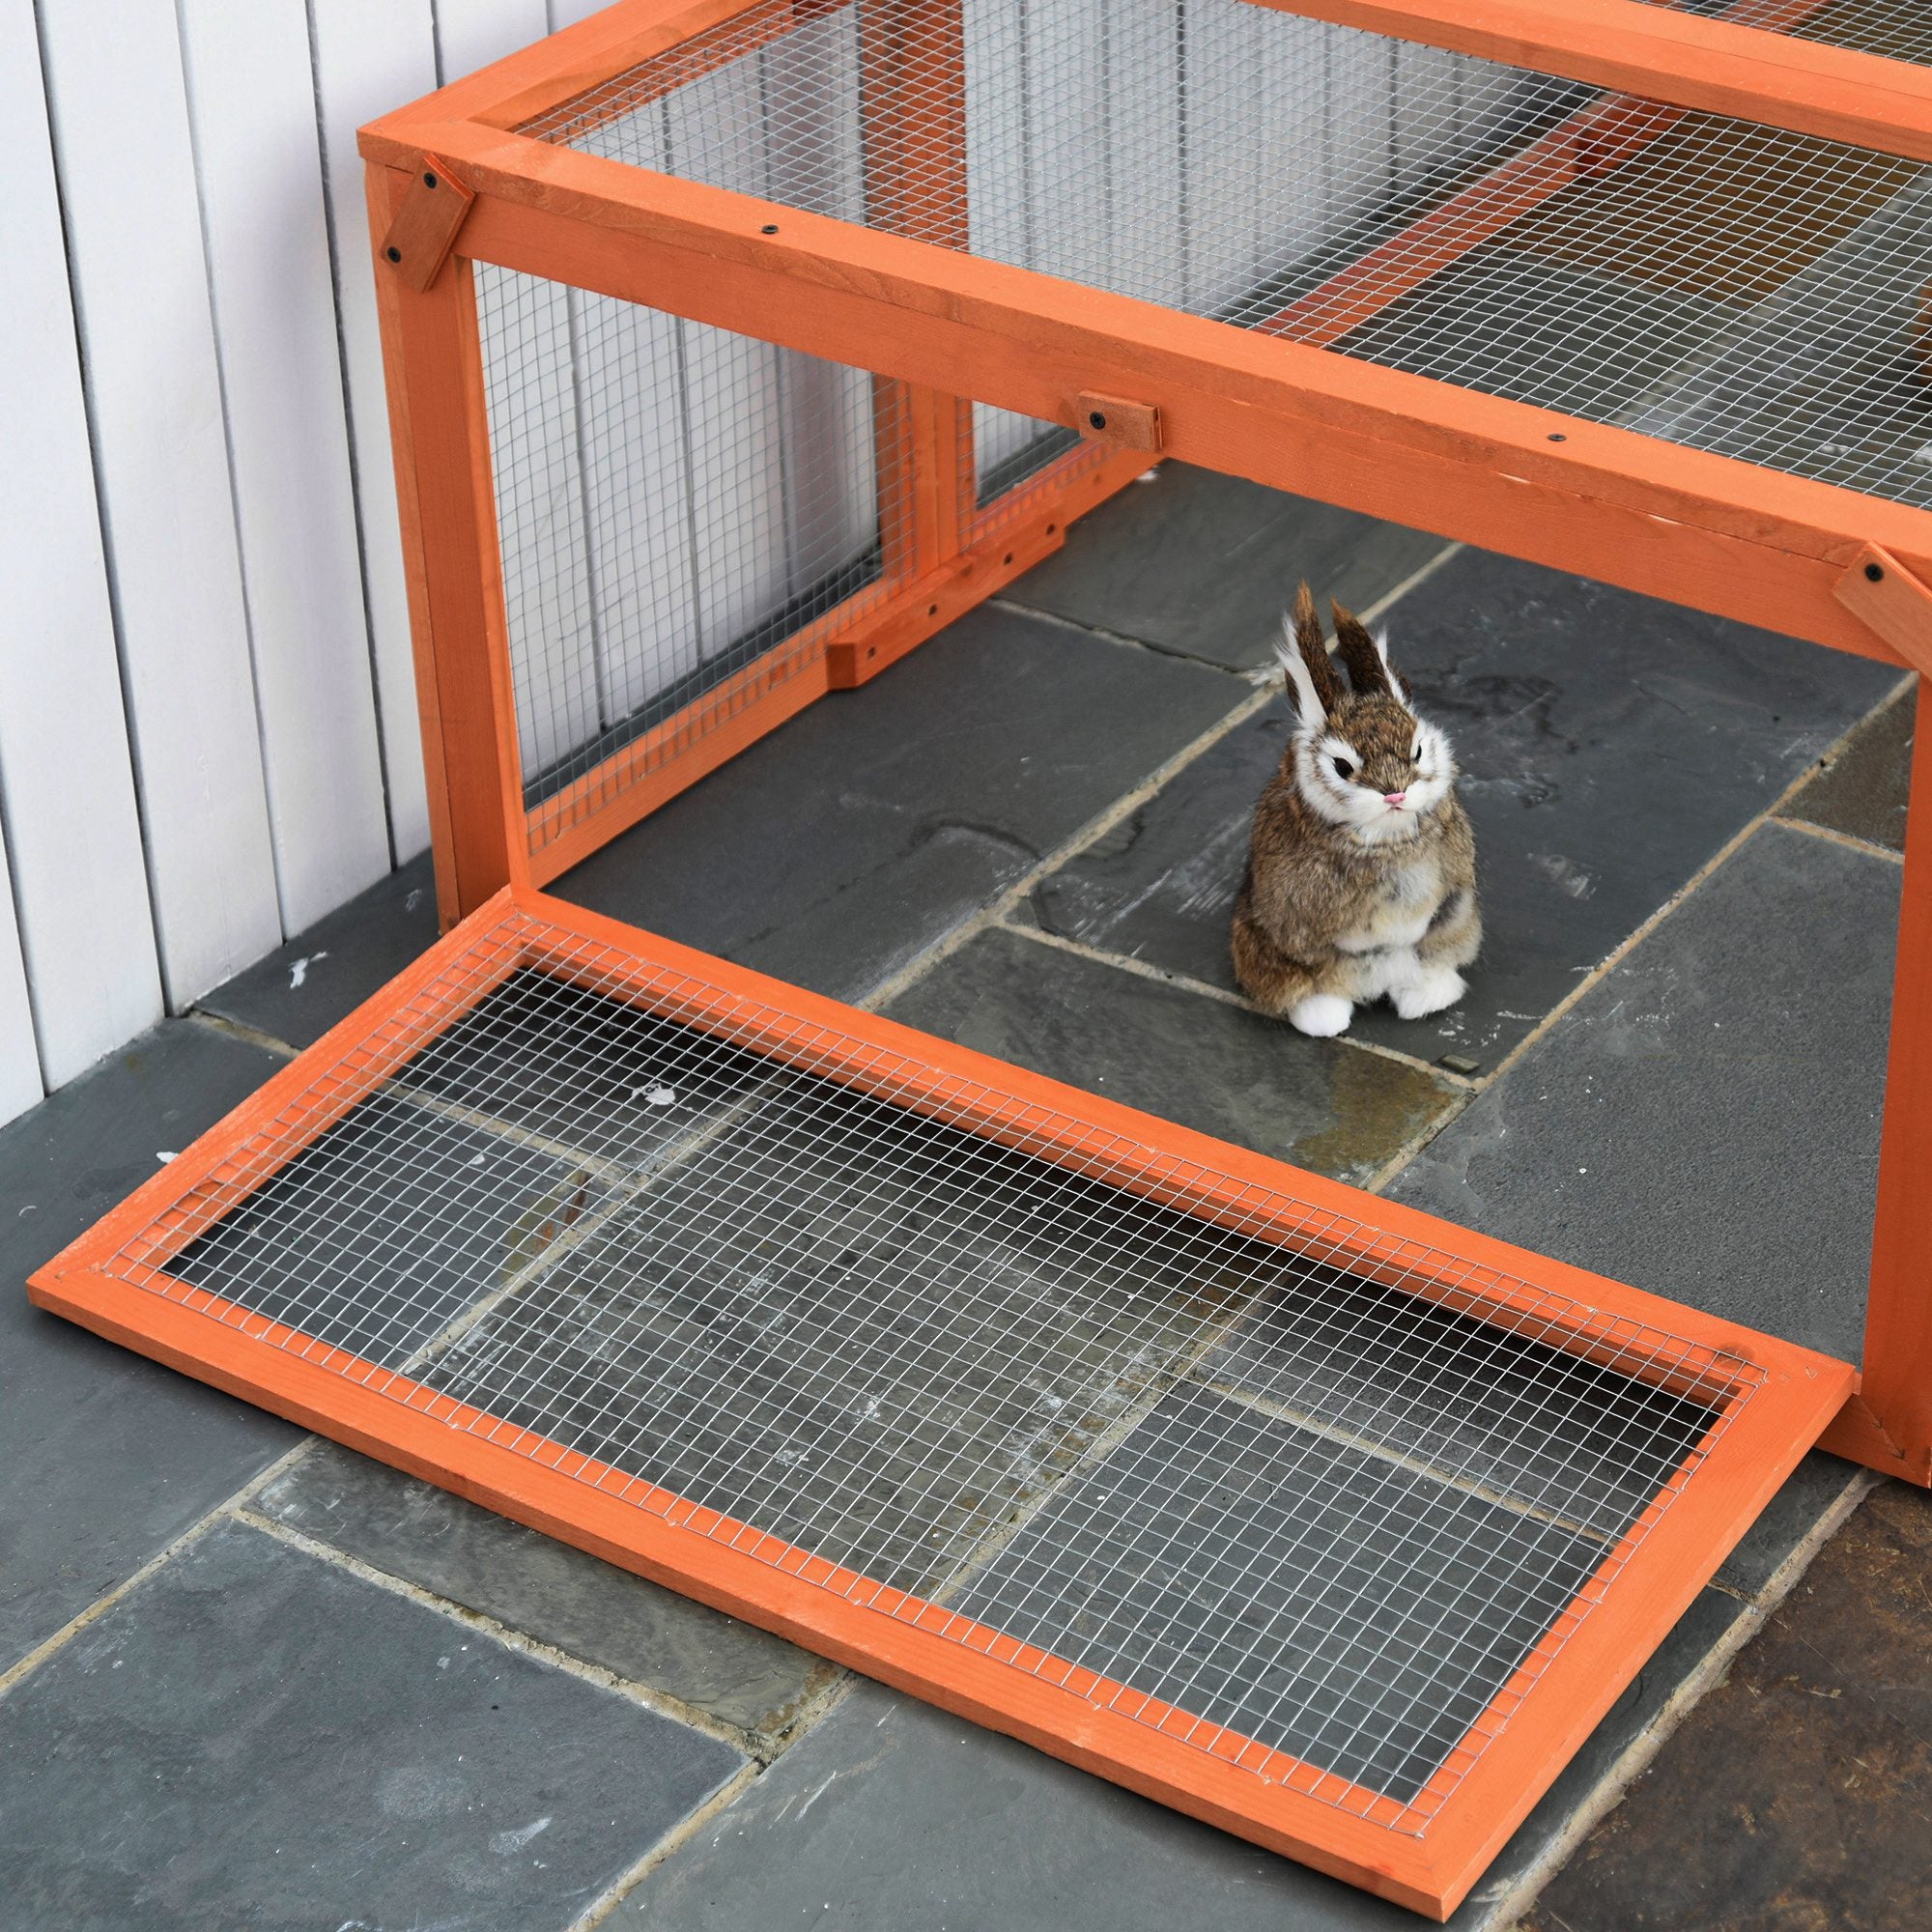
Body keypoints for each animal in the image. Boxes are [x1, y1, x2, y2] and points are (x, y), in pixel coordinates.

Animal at [1231, 583, 1479, 1038]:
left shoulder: (1449, 891)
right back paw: (1324, 1019)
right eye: (1342, 767)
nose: (1395, 795)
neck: (1387, 837)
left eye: (1417, 751)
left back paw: (1424, 1000)